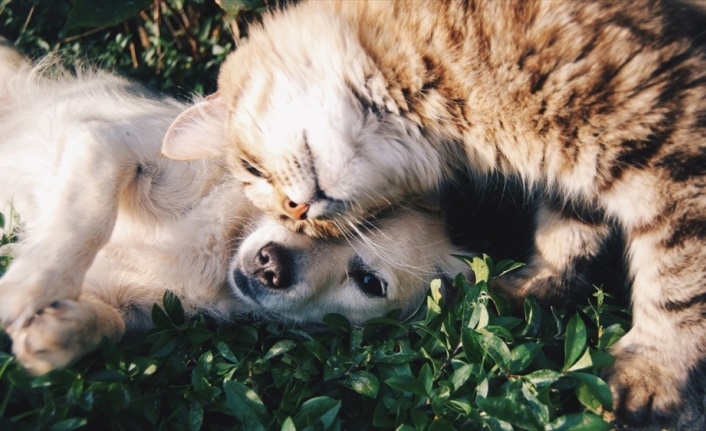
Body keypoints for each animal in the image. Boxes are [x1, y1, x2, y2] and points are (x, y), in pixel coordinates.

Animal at [1, 42, 472, 374]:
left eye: (370, 283)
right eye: (296, 204)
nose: (271, 265)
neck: (220, 245)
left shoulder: (136, 304)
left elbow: (113, 323)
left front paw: (59, 332)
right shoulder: (106, 143)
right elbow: (85, 221)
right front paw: (26, 287)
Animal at [161, 0, 706, 426]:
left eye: (253, 169)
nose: (298, 210)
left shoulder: (670, 148)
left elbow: (676, 284)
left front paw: (652, 373)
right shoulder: (577, 173)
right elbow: (565, 236)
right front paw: (528, 289)